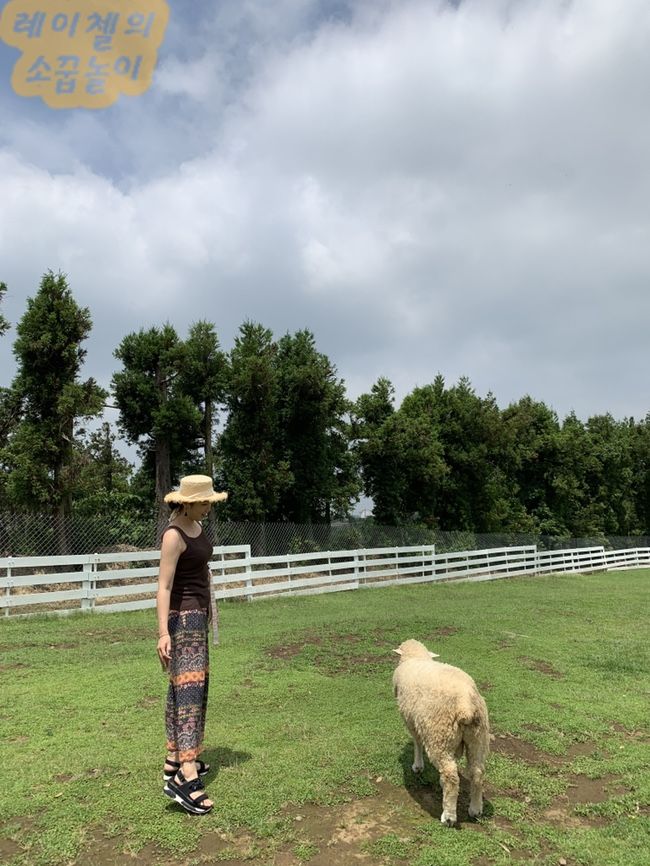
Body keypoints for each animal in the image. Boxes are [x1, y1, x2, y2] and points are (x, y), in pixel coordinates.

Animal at [392, 636, 488, 824]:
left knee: (451, 775)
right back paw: (475, 808)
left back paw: (449, 816)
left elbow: (417, 742)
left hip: (439, 736)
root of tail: (466, 704)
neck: (416, 657)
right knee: (477, 772)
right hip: (477, 738)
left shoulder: (412, 721)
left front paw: (417, 766)